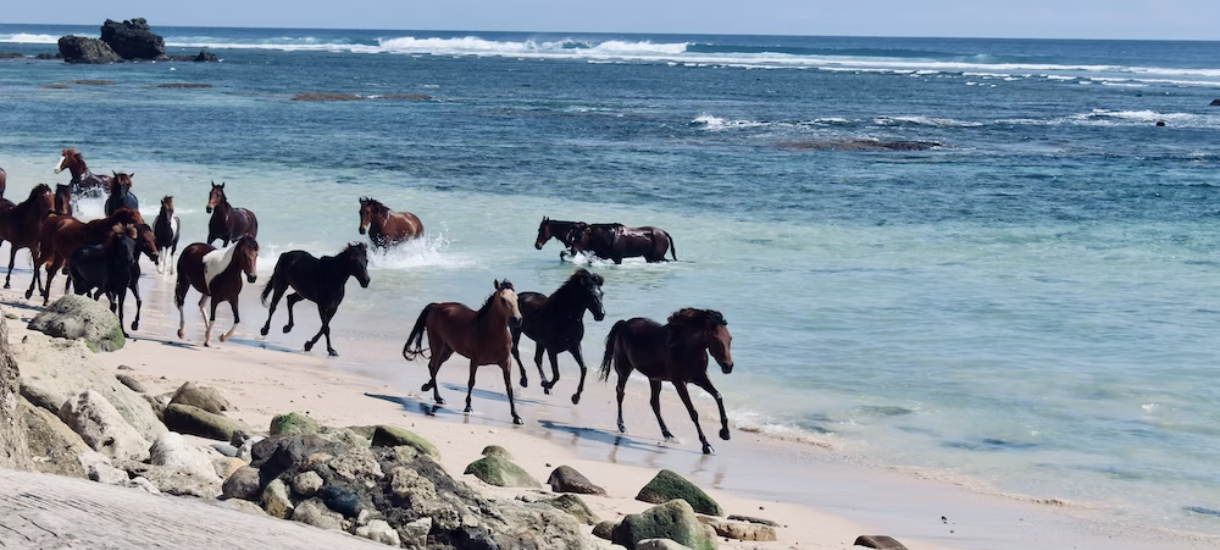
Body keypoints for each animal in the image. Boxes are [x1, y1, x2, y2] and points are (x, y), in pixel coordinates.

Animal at [402, 280, 525, 424]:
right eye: (503, 299)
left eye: (516, 298)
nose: (517, 319)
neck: (490, 332)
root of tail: (436, 306)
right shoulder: (475, 360)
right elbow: (471, 382)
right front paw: (468, 407)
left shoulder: (506, 363)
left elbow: (509, 388)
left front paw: (516, 417)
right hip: (437, 344)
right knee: (433, 366)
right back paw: (438, 397)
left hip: (447, 350)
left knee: (435, 367)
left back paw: (429, 388)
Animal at [510, 268, 606, 404]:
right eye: (590, 294)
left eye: (602, 293)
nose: (601, 315)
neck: (564, 316)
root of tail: (518, 296)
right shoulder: (552, 349)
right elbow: (557, 374)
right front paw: (547, 385)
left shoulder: (574, 346)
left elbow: (584, 368)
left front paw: (575, 397)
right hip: (516, 330)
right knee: (516, 352)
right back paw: (525, 380)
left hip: (539, 342)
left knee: (537, 359)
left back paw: (544, 386)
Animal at [599, 308, 734, 455]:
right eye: (716, 339)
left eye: (730, 338)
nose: (728, 366)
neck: (687, 347)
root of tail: (624, 323)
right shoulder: (679, 383)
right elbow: (693, 413)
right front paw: (706, 445)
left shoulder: (700, 377)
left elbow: (718, 396)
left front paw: (725, 433)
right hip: (625, 369)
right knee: (620, 392)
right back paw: (622, 426)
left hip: (654, 378)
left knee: (654, 403)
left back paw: (668, 434)